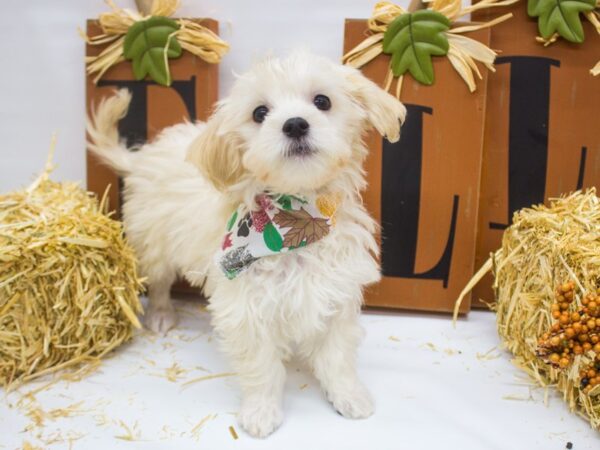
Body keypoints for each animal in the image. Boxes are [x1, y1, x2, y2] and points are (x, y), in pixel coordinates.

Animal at [88, 51, 408, 438]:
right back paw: (162, 314)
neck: (295, 222)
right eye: (259, 113)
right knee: (160, 281)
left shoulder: (337, 296)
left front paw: (349, 397)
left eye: (322, 101)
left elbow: (338, 358)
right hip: (154, 242)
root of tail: (141, 158)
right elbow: (262, 368)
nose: (295, 124)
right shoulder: (246, 309)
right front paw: (261, 412)